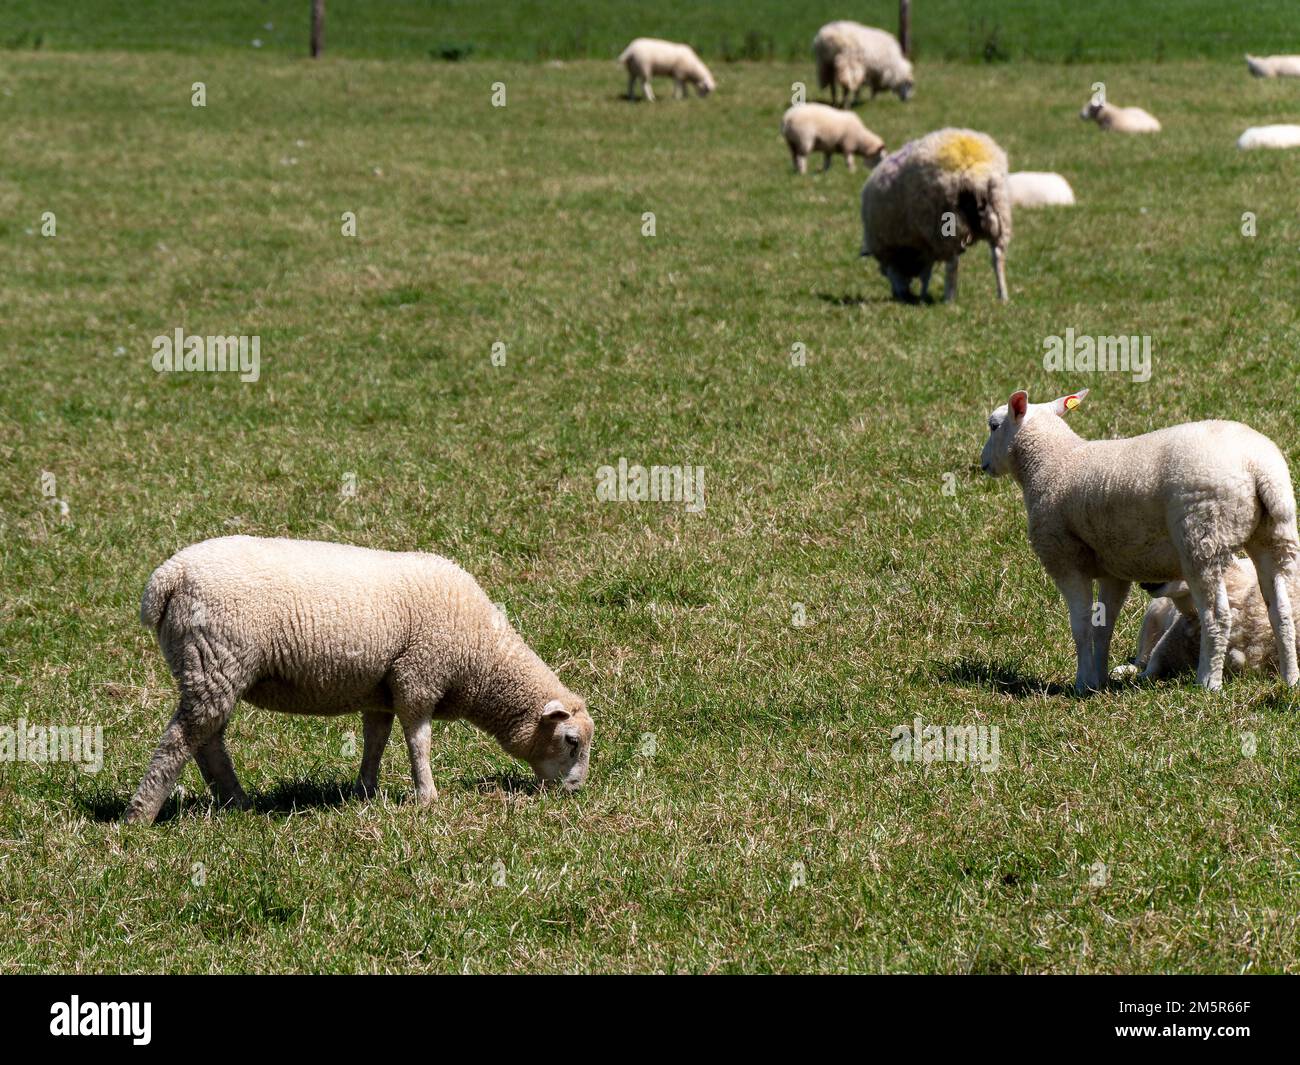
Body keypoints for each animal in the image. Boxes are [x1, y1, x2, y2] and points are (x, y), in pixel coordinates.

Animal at [124, 536, 593, 824]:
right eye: (571, 740)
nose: (574, 791)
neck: (480, 656)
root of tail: (167, 578)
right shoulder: (418, 676)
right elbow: (418, 741)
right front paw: (427, 797)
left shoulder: (381, 690)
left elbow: (376, 740)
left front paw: (366, 791)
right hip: (216, 659)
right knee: (182, 739)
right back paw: (140, 816)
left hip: (210, 667)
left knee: (207, 740)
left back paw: (236, 803)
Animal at [860, 127, 1011, 303]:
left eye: (885, 272)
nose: (900, 295)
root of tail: (973, 169)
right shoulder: (926, 244)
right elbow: (927, 270)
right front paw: (923, 296)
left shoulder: (919, 241)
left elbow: (924, 272)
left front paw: (922, 296)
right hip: (999, 214)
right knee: (997, 257)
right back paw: (1003, 296)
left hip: (947, 223)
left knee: (953, 263)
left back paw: (949, 299)